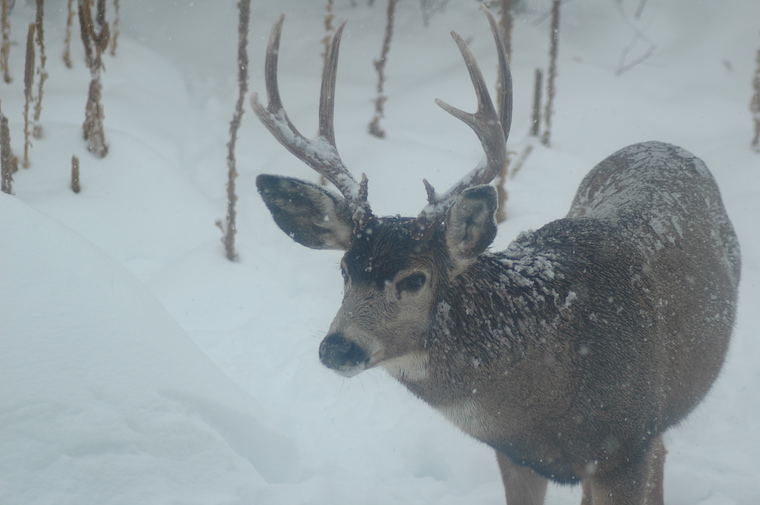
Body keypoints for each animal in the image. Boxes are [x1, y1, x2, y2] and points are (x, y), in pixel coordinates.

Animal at [251, 7, 741, 505]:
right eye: (344, 269)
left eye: (415, 279)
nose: (338, 346)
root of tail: (660, 144)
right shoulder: (513, 455)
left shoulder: (625, 446)